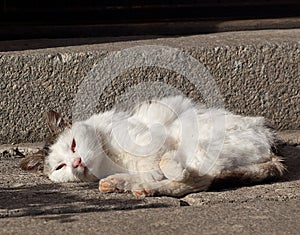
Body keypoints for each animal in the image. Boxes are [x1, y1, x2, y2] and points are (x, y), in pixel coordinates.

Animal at [24, 95, 284, 196]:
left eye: (74, 144)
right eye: (60, 167)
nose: (77, 162)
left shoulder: (151, 138)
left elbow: (152, 158)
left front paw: (156, 171)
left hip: (196, 138)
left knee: (195, 179)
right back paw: (124, 183)